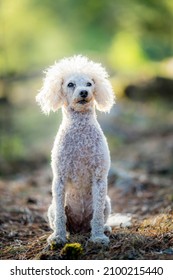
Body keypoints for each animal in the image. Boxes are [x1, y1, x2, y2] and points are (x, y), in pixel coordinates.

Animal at [36, 55, 115, 245]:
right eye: (70, 84)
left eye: (89, 84)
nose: (84, 92)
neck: (80, 131)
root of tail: (80, 227)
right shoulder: (59, 179)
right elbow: (60, 216)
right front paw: (58, 237)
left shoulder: (99, 177)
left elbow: (97, 217)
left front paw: (98, 237)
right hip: (51, 208)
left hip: (107, 202)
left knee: (98, 219)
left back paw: (104, 228)